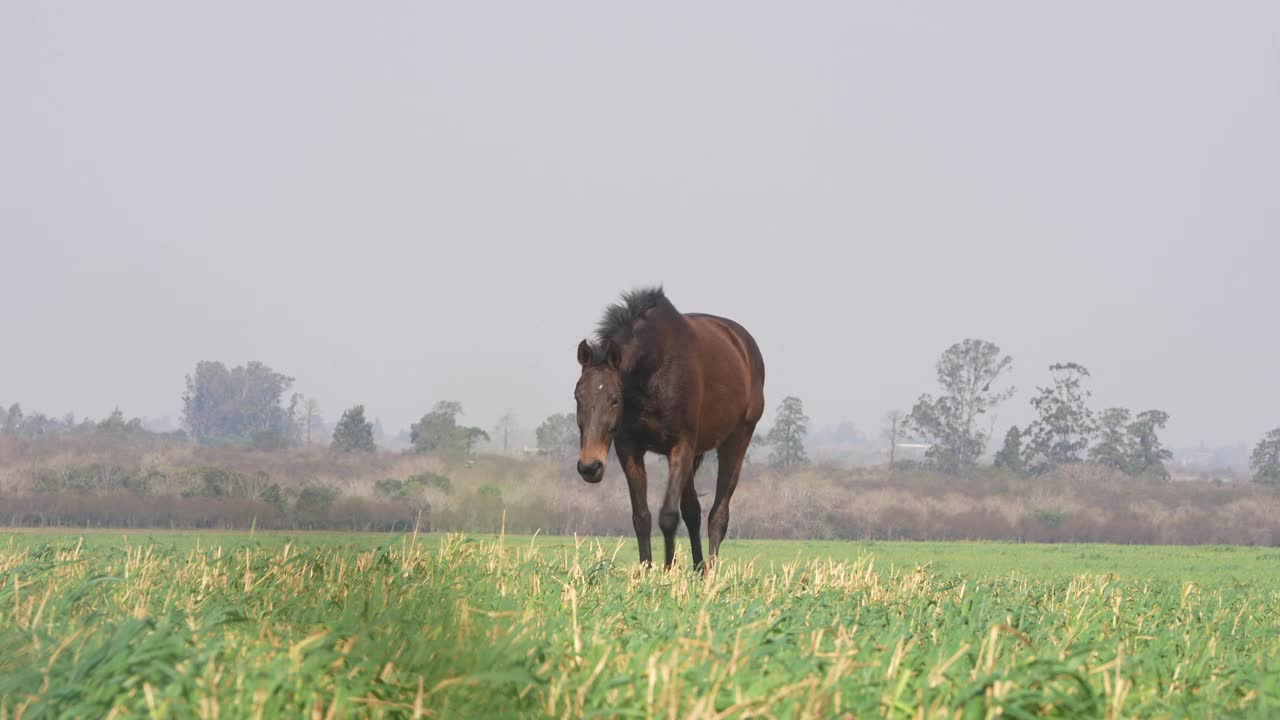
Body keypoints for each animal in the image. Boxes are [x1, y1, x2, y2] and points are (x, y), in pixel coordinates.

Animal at [576, 285, 762, 566]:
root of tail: (744, 345)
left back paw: (712, 571)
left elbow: (668, 516)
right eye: (578, 396)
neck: (655, 368)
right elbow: (642, 517)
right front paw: (647, 569)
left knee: (718, 515)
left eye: (615, 399)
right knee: (693, 511)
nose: (590, 467)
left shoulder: (680, 445)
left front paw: (667, 569)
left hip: (736, 441)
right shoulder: (629, 447)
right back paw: (699, 568)